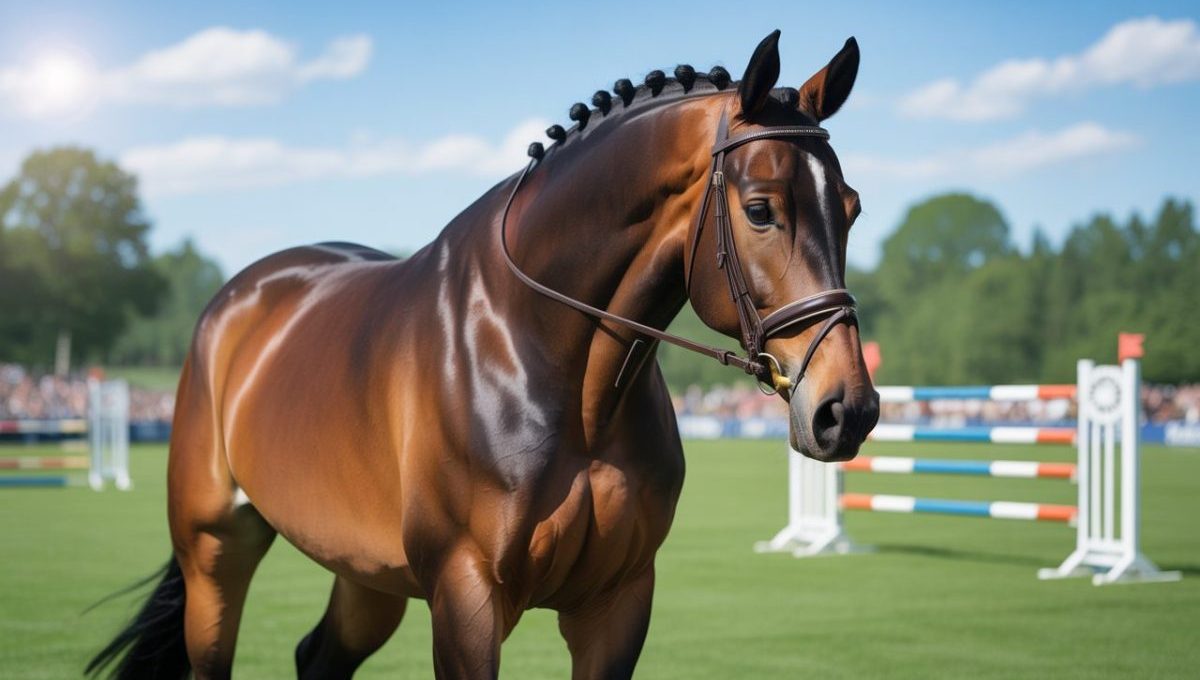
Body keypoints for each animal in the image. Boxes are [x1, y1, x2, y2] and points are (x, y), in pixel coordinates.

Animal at [89, 30, 879, 679]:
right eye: (760, 208)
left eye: (852, 206)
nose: (847, 410)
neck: (551, 365)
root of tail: (239, 300)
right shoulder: (465, 596)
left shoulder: (616, 604)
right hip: (214, 554)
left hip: (365, 573)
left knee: (319, 657)